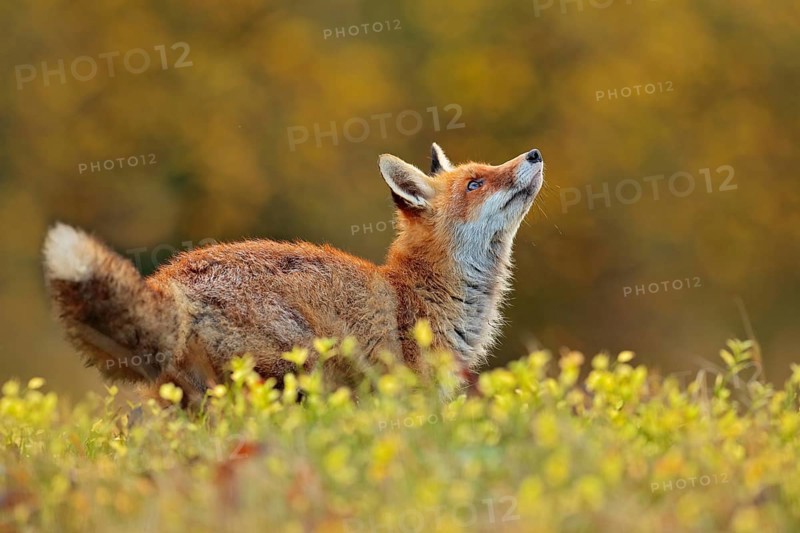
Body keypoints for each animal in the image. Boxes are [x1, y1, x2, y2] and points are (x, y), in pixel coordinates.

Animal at [42, 144, 544, 404]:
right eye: (475, 184)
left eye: (486, 169)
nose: (534, 154)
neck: (423, 291)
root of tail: (170, 279)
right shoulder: (410, 390)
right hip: (294, 373)